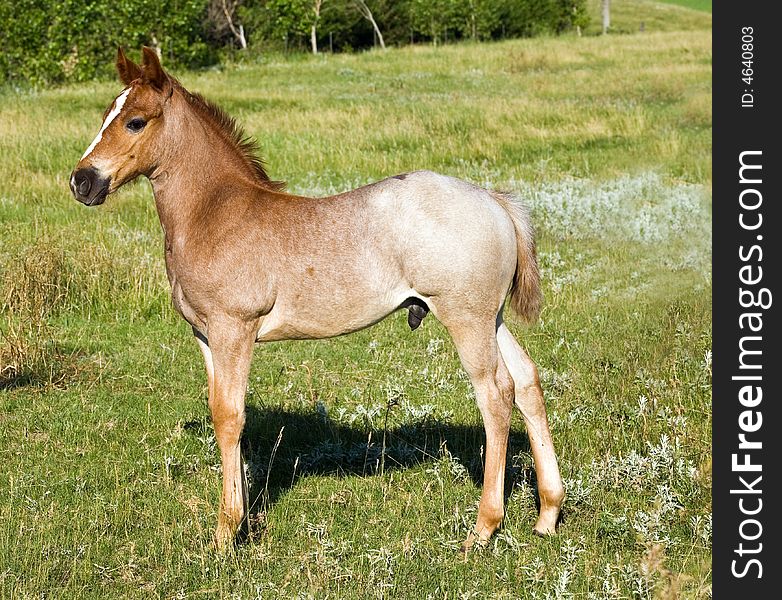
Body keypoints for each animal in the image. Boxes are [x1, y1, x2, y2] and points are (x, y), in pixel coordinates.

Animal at [70, 49, 564, 552]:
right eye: (106, 113)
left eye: (134, 121)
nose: (82, 182)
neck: (214, 213)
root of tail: (494, 200)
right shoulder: (205, 336)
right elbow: (221, 413)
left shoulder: (234, 329)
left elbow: (230, 418)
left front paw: (227, 533)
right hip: (491, 317)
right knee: (527, 380)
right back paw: (547, 512)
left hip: (465, 318)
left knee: (496, 394)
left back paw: (483, 528)